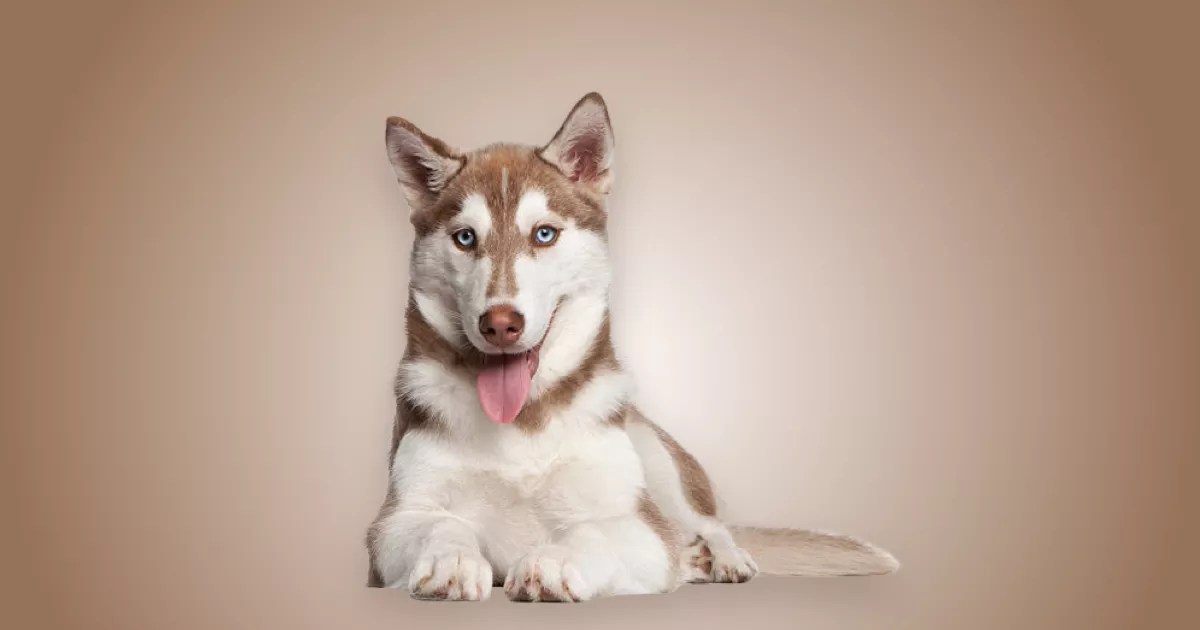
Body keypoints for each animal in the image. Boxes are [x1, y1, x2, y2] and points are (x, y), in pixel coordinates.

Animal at [364, 92, 902, 600]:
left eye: (544, 234)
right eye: (465, 238)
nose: (500, 324)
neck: (523, 419)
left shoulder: (639, 524)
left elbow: (595, 532)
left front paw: (553, 561)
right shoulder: (392, 522)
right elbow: (436, 523)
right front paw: (450, 560)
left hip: (654, 452)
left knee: (709, 522)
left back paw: (721, 558)